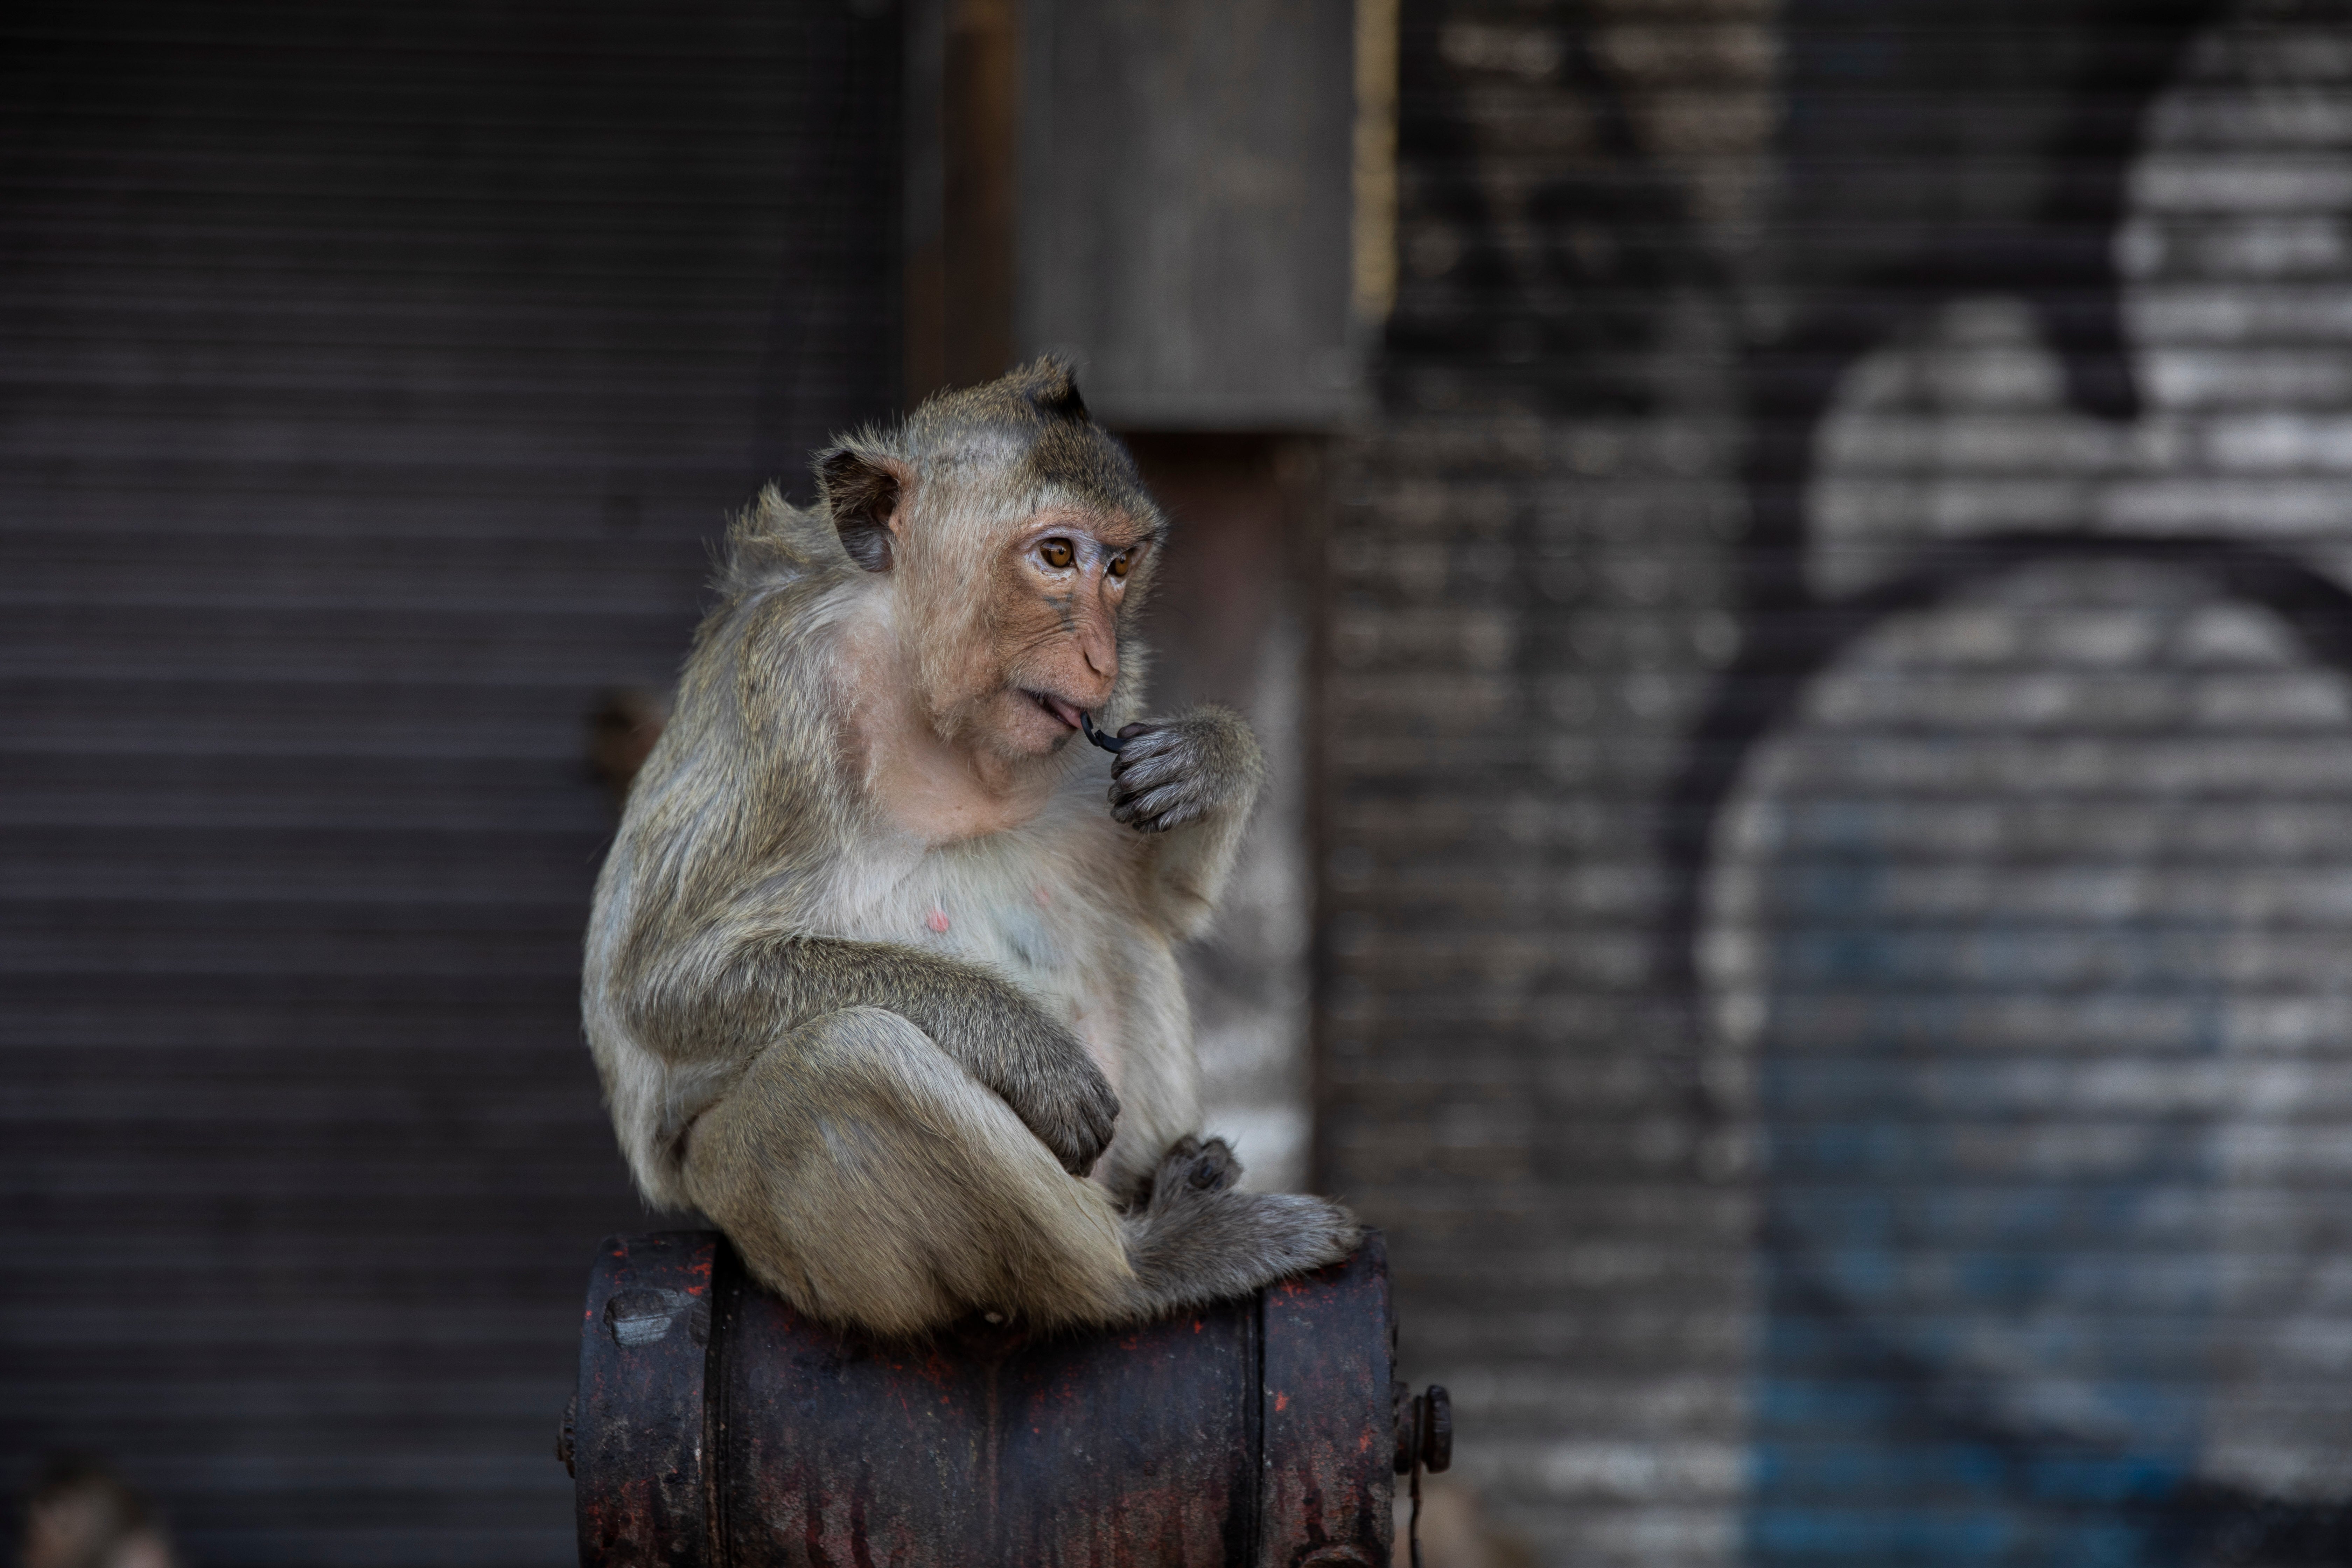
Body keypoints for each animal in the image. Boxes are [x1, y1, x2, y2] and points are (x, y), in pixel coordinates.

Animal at [579, 355, 1373, 1335]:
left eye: (1121, 565)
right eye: (1057, 556)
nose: (1101, 659)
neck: (921, 687)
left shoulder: (1108, 719)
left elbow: (1164, 905)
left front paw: (1211, 757)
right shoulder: (787, 687)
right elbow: (666, 982)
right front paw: (1023, 1046)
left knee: (1118, 925)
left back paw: (1178, 1187)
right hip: (778, 1229)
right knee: (841, 1061)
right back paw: (1153, 1264)